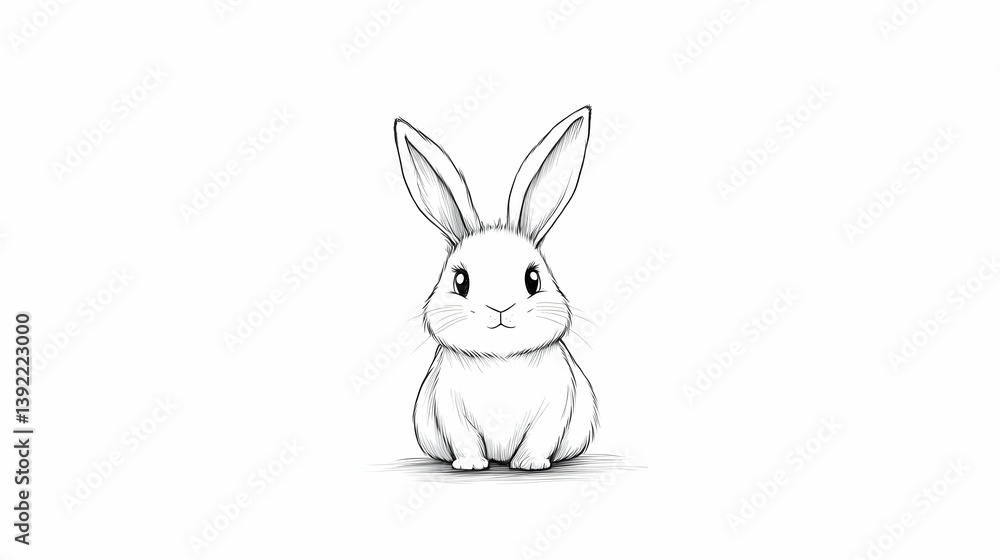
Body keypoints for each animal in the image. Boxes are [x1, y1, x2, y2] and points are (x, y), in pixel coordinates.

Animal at [394, 106, 599, 471]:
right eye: (460, 281)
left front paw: (529, 464)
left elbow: (540, 439)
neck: (499, 359)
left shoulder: (556, 407)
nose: (500, 307)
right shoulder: (449, 410)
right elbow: (464, 440)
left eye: (533, 279)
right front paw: (471, 465)